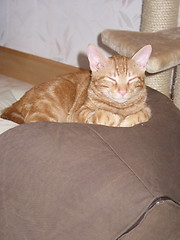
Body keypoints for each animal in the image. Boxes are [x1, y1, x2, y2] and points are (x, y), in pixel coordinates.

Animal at [0, 44, 152, 127]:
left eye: (131, 79)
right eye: (111, 79)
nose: (122, 91)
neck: (120, 107)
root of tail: (18, 101)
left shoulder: (146, 109)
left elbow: (142, 114)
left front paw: (128, 120)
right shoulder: (80, 113)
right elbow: (102, 115)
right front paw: (116, 118)